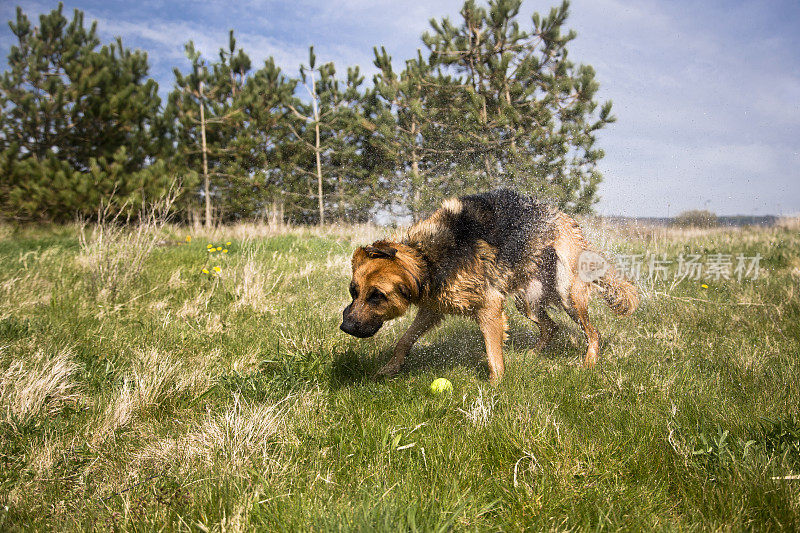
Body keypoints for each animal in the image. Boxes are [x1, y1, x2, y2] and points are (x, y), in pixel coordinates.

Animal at [338, 189, 636, 384]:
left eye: (378, 296)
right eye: (354, 292)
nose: (346, 327)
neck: (428, 258)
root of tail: (567, 219)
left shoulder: (489, 308)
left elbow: (493, 355)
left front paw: (495, 388)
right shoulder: (433, 309)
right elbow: (404, 340)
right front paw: (389, 370)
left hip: (567, 293)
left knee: (593, 332)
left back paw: (589, 362)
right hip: (527, 300)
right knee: (551, 327)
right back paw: (531, 356)